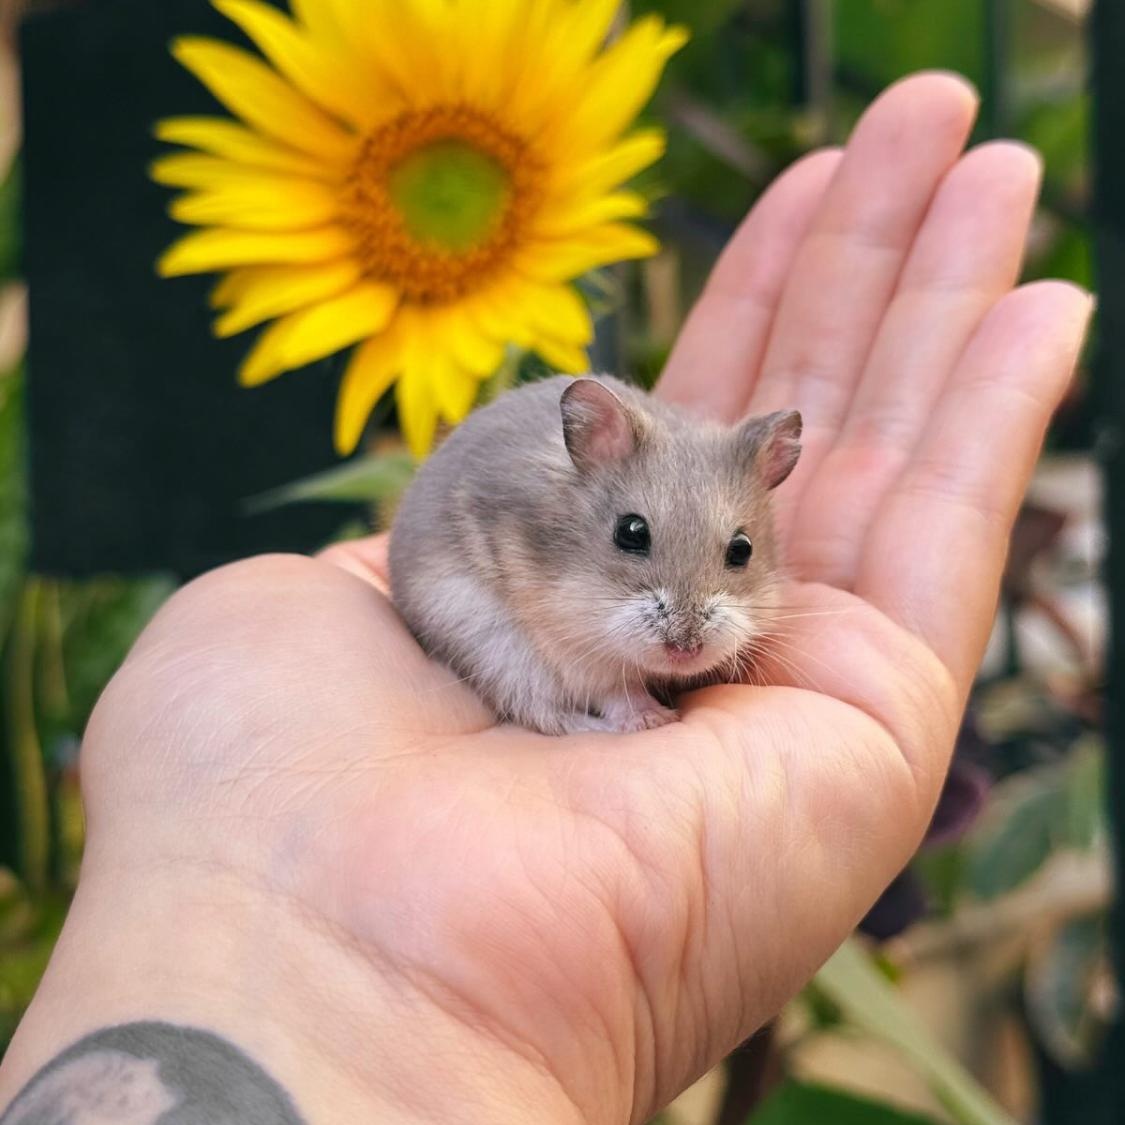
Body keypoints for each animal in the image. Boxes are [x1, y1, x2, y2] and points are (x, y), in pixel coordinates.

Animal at [388, 375, 801, 735]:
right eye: (631, 532)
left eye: (743, 549)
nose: (685, 650)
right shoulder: (569, 648)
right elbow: (613, 691)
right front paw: (653, 719)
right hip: (490, 646)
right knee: (540, 711)